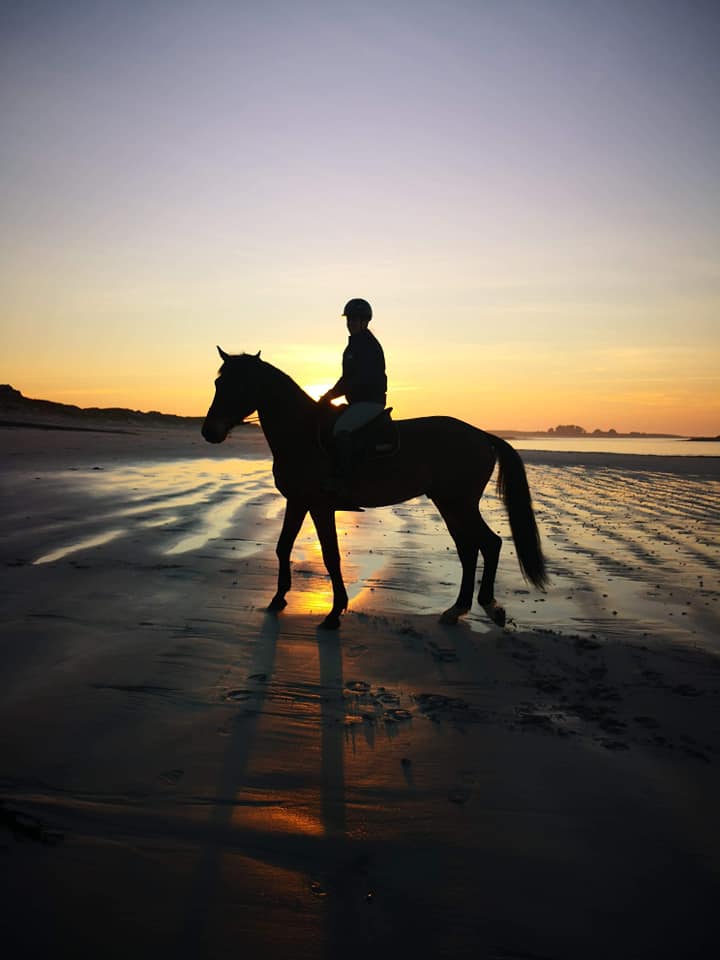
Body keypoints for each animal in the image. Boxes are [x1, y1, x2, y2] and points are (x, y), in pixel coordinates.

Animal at [200, 348, 548, 632]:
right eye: (218, 384)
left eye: (238, 385)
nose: (209, 432)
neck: (302, 433)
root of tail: (481, 434)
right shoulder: (298, 502)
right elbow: (283, 547)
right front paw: (278, 599)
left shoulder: (320, 506)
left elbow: (331, 556)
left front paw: (334, 612)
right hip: (449, 504)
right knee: (468, 549)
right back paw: (457, 609)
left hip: (459, 503)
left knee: (489, 544)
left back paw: (489, 607)